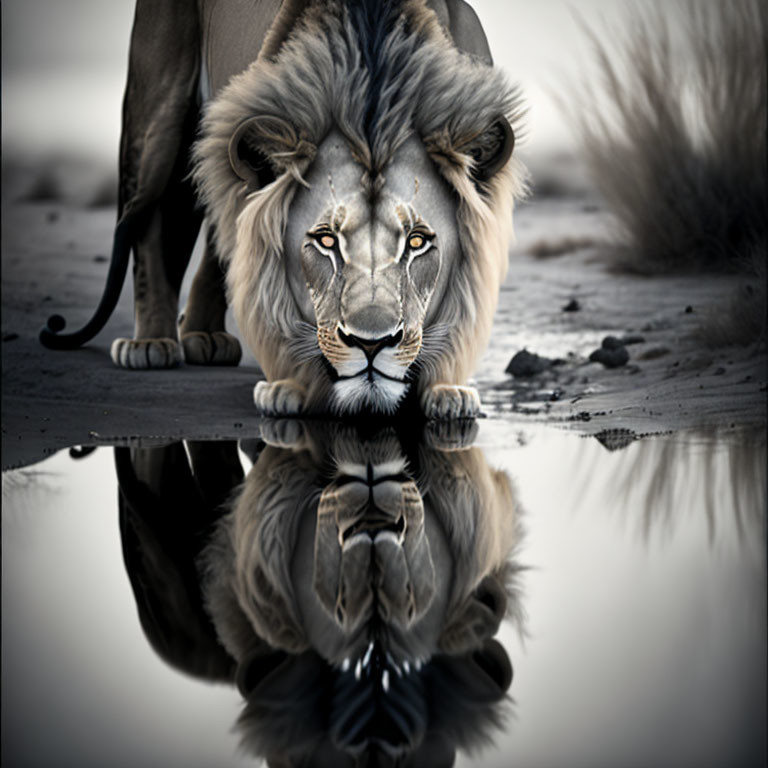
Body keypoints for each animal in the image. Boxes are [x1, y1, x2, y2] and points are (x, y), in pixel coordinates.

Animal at [39, 0, 524, 420]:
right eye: (325, 240)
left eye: (417, 242)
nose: (371, 346)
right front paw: (292, 385)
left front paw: (447, 389)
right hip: (160, 112)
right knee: (152, 219)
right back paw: (151, 343)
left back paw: (202, 335)